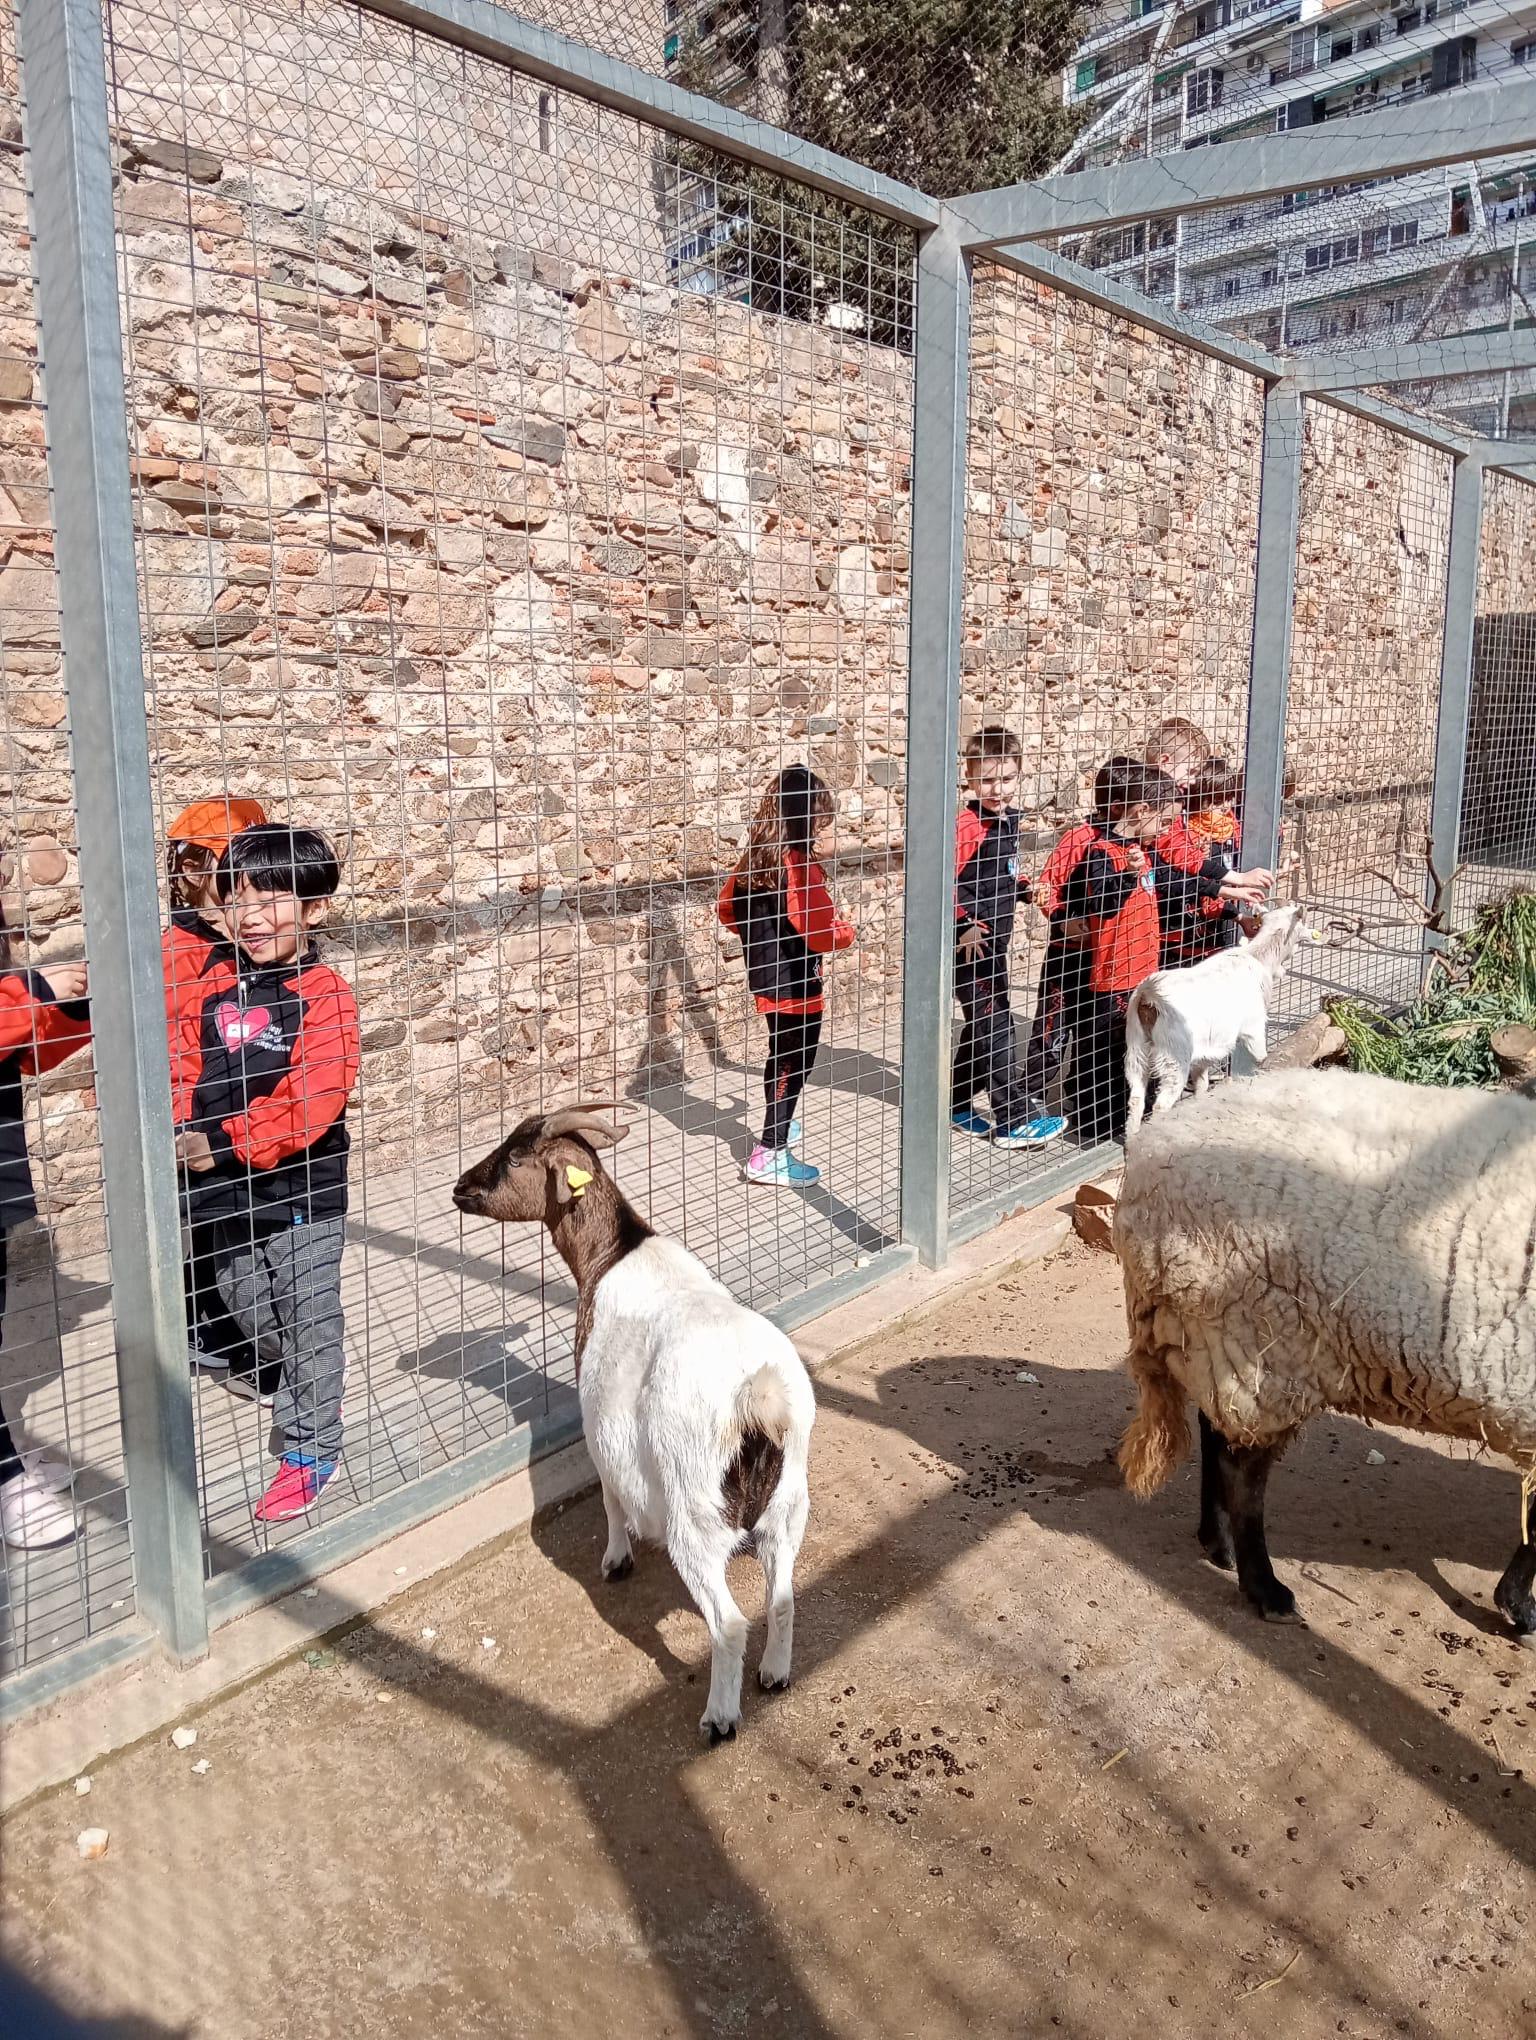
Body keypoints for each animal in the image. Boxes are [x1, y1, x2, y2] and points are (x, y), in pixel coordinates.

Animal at [453, 1102, 815, 1742]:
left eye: (516, 1157)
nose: (459, 1190)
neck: (613, 1253)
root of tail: (758, 1401)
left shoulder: (599, 1424)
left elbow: (609, 1495)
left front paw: (616, 1558)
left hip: (695, 1517)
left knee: (728, 1623)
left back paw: (719, 1718)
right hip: (788, 1503)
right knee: (783, 1598)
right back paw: (774, 1675)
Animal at [1115, 1066, 1536, 1635]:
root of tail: (1150, 1154)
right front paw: (1517, 1606)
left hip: (1216, 1337)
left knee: (1215, 1430)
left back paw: (1217, 1545)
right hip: (1258, 1345)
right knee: (1241, 1471)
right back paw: (1265, 1589)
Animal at [1122, 901, 1312, 1130]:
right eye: (1302, 920)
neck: (1259, 957)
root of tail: (1148, 996)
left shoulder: (1204, 1052)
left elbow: (1202, 1084)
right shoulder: (1253, 1027)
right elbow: (1261, 1058)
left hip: (1136, 1047)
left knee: (1136, 1099)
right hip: (1174, 1054)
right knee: (1161, 1104)